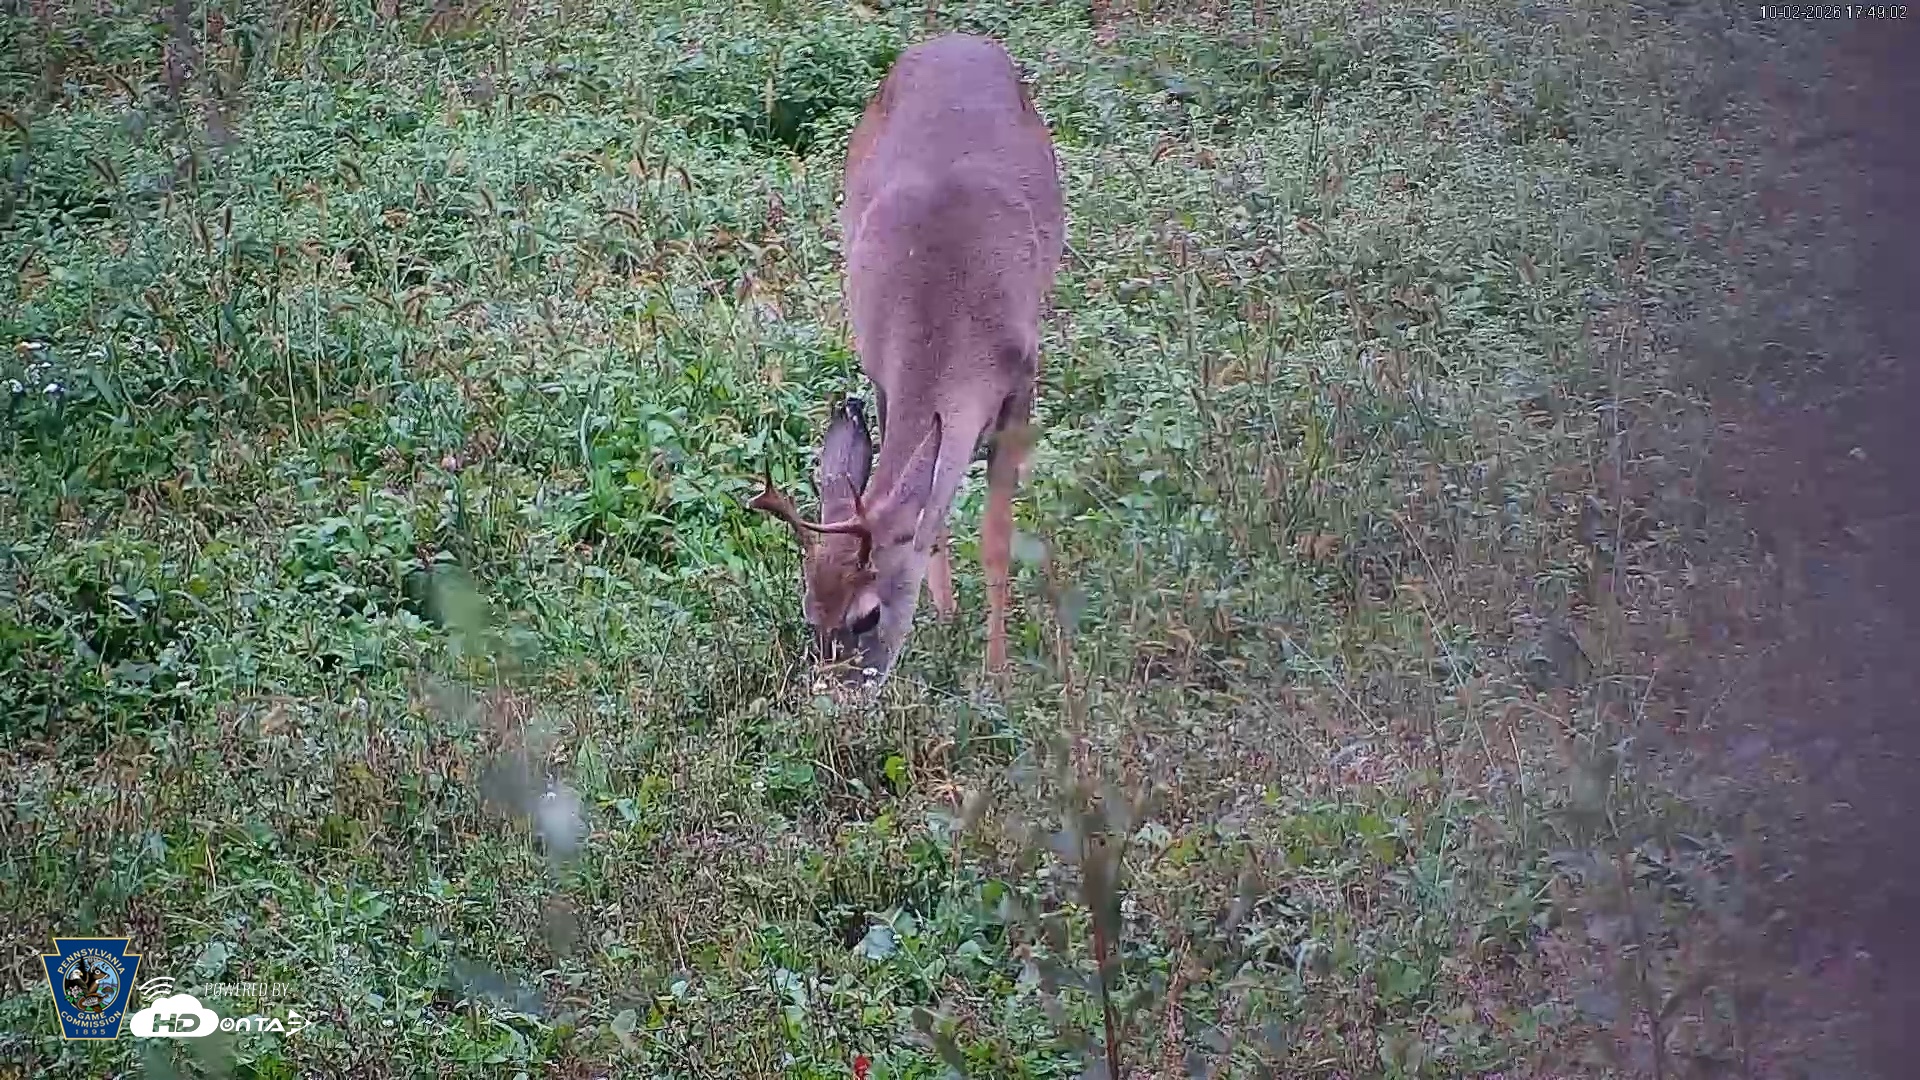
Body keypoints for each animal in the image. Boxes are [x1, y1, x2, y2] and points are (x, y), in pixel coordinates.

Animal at [749, 33, 1065, 689]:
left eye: (867, 616)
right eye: (809, 612)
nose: (836, 694)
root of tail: (954, 40)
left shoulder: (1023, 376)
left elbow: (996, 533)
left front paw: (997, 670)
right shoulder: (883, 374)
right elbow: (925, 508)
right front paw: (943, 618)